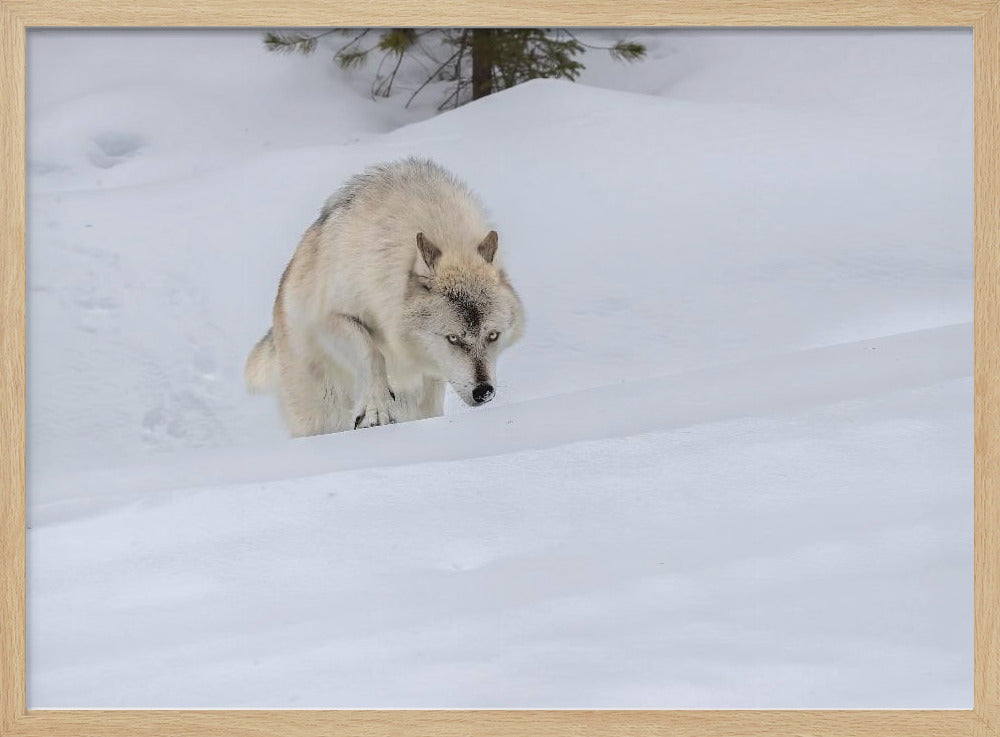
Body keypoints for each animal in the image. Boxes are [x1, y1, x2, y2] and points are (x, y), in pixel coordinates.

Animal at [244, 154, 524, 432]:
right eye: (453, 338)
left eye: (493, 335)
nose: (484, 392)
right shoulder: (328, 319)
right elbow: (372, 352)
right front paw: (375, 410)